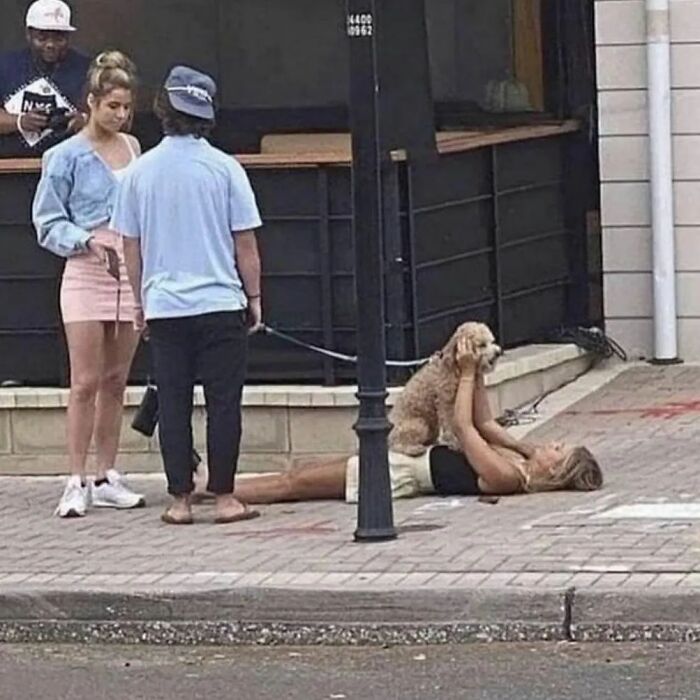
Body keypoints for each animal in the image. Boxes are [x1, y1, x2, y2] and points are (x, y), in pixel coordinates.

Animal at [388, 322, 504, 456]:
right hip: (419, 424)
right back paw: (413, 448)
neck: (456, 367)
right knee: (395, 443)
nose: (498, 352)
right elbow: (450, 423)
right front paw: (455, 441)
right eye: (482, 345)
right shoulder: (446, 403)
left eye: (491, 341)